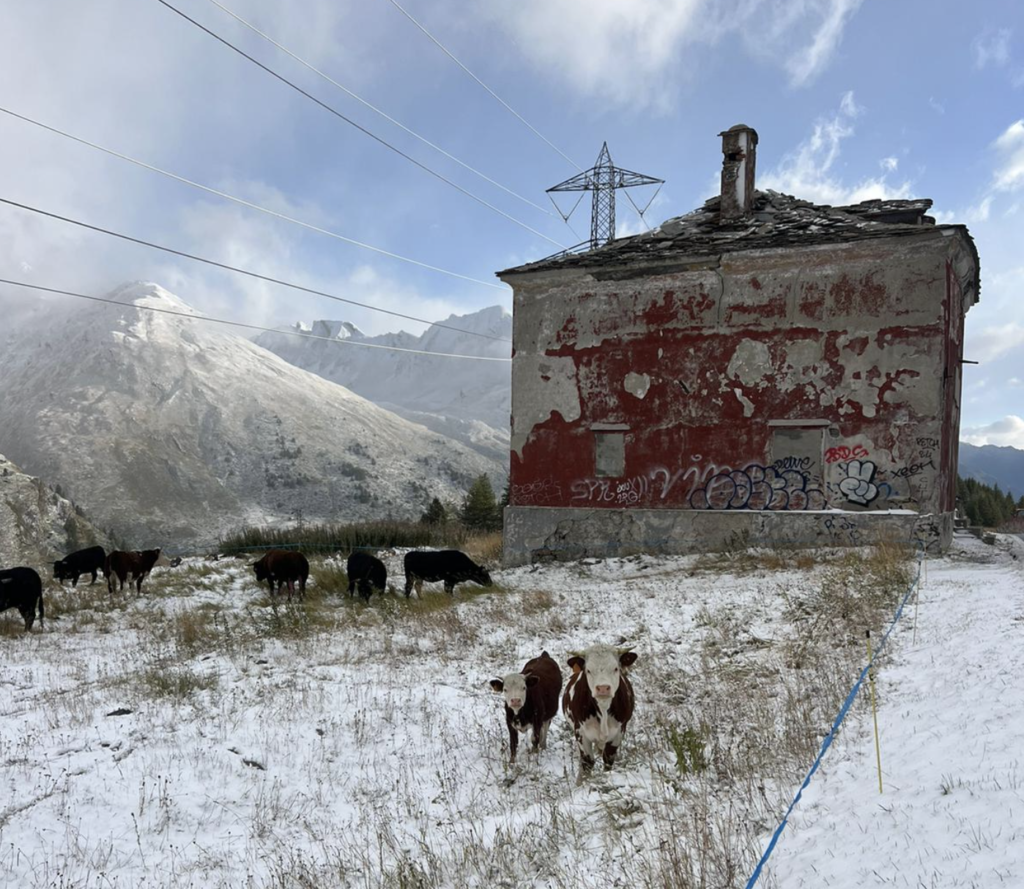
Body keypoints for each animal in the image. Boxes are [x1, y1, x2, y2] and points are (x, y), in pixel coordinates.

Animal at [565, 647, 634, 778]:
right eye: (588, 670)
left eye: (616, 668)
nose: (603, 688)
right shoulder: (580, 732)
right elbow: (587, 763)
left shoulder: (619, 732)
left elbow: (608, 760)